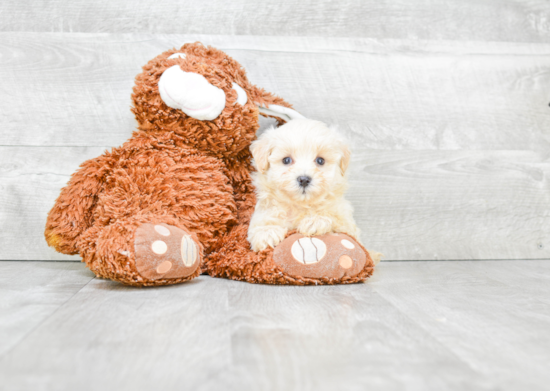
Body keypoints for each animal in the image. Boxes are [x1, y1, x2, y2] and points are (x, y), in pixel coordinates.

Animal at [248, 118, 360, 253]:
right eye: (286, 160)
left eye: (320, 160)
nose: (304, 180)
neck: (301, 205)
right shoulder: (265, 210)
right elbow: (263, 221)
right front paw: (266, 232)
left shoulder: (349, 226)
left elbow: (336, 219)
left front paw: (315, 221)